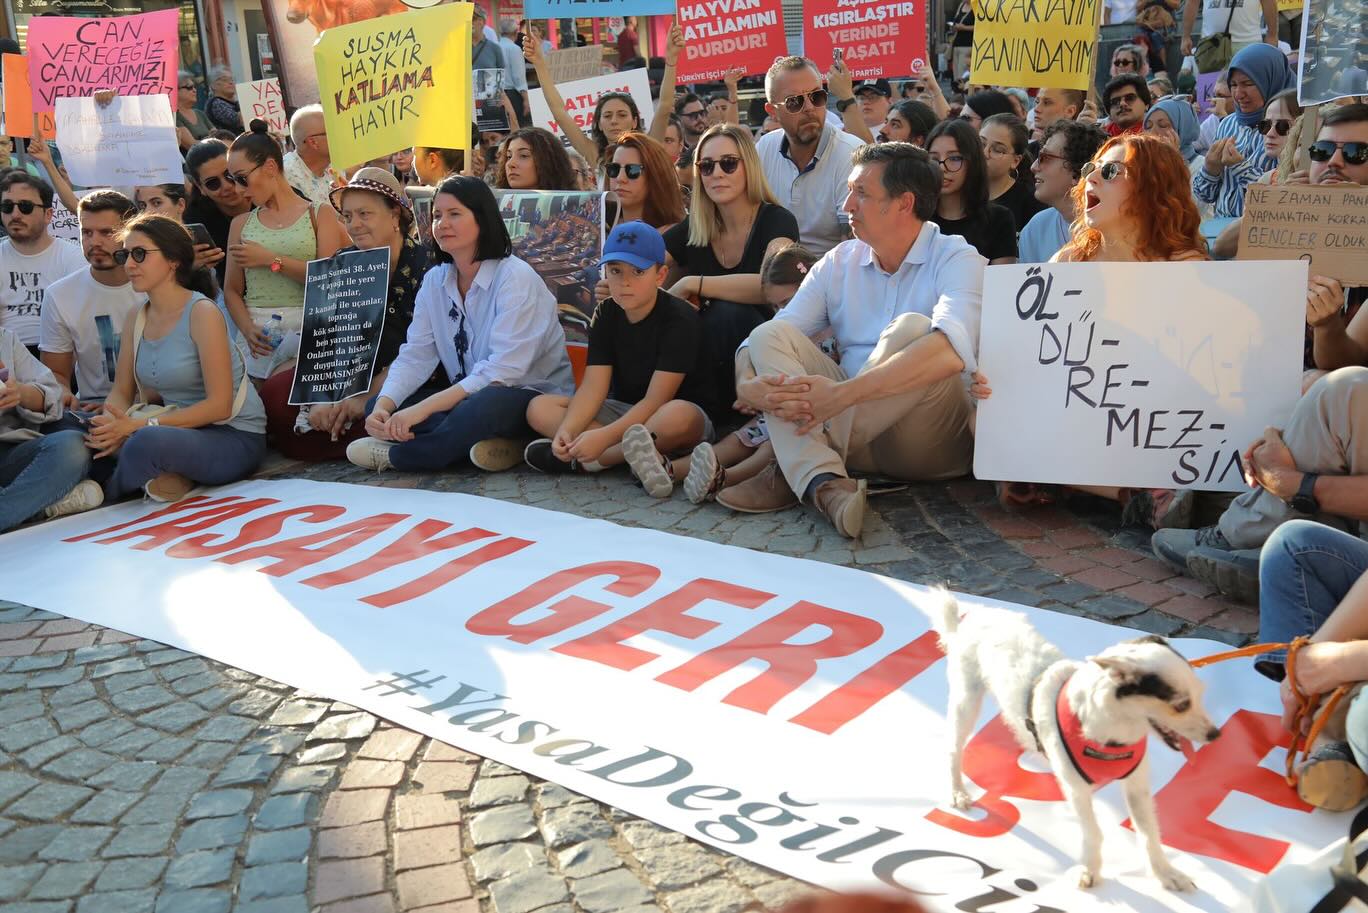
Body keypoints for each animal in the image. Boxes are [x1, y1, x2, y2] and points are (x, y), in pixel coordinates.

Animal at [935, 585, 1225, 892]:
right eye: (1181, 705)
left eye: (1200, 694)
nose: (1215, 735)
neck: (1114, 733)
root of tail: (970, 619)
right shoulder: (1077, 791)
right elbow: (1094, 832)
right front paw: (1090, 869)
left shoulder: (1137, 788)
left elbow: (1149, 833)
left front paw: (1165, 873)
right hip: (966, 701)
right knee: (953, 749)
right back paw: (957, 791)